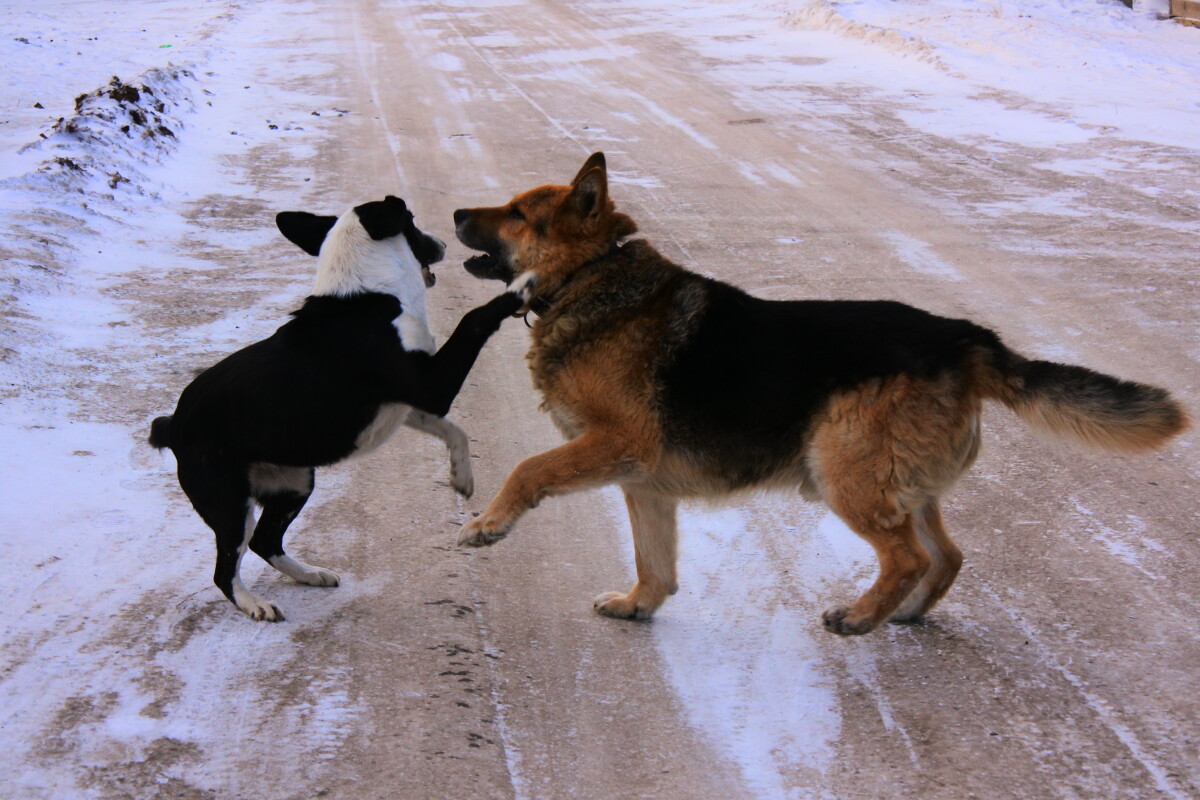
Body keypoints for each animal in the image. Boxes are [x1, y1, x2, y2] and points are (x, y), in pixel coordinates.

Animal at [151, 196, 535, 623]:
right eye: (412, 223)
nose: (441, 243)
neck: (368, 296)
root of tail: (172, 425)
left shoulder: (408, 402)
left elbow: (455, 430)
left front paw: (461, 476)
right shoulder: (431, 387)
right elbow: (474, 319)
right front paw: (521, 287)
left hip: (295, 482)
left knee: (265, 541)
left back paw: (309, 574)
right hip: (232, 504)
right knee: (226, 569)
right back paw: (255, 604)